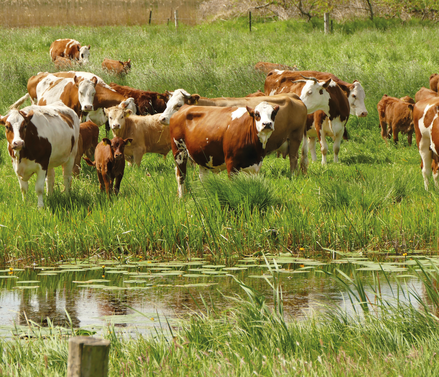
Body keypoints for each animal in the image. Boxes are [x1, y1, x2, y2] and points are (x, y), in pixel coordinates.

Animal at [160, 89, 308, 173]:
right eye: (167, 104)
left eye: (179, 105)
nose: (162, 118)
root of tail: (292, 96)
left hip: (295, 137)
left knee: (293, 158)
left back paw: (292, 176)